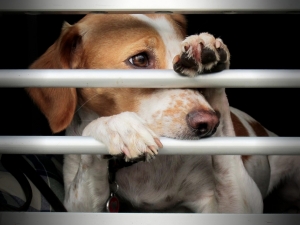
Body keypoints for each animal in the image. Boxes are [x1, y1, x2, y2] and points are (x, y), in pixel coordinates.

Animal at [27, 13, 298, 213]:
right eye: (139, 59)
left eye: (180, 56)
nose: (208, 123)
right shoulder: (77, 201)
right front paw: (118, 126)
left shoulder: (235, 203)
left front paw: (208, 55)